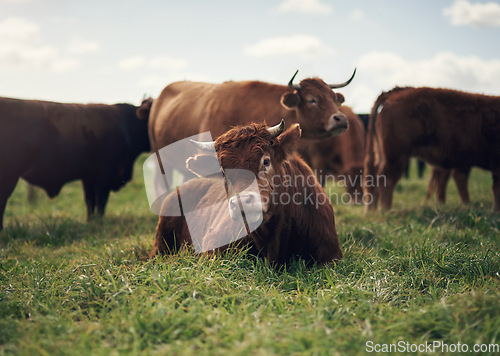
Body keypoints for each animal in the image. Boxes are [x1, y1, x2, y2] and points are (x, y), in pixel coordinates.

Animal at [0, 96, 152, 229]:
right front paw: (99, 221)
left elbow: (90, 201)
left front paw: (91, 221)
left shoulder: (89, 177)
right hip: (9, 175)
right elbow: (101, 200)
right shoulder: (104, 175)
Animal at [364, 86, 500, 211]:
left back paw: (372, 211)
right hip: (396, 156)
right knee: (386, 179)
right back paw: (386, 211)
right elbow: (495, 189)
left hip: (383, 155)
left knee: (373, 178)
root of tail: (393, 93)